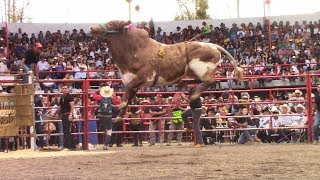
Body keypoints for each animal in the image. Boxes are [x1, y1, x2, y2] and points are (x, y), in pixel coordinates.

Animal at [90, 20, 242, 121]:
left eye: (111, 24)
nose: (92, 27)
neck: (133, 50)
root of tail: (214, 46)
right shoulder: (134, 84)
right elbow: (128, 98)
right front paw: (119, 117)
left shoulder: (144, 77)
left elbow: (125, 97)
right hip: (192, 71)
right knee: (199, 81)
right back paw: (184, 85)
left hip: (199, 67)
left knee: (210, 81)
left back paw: (193, 95)